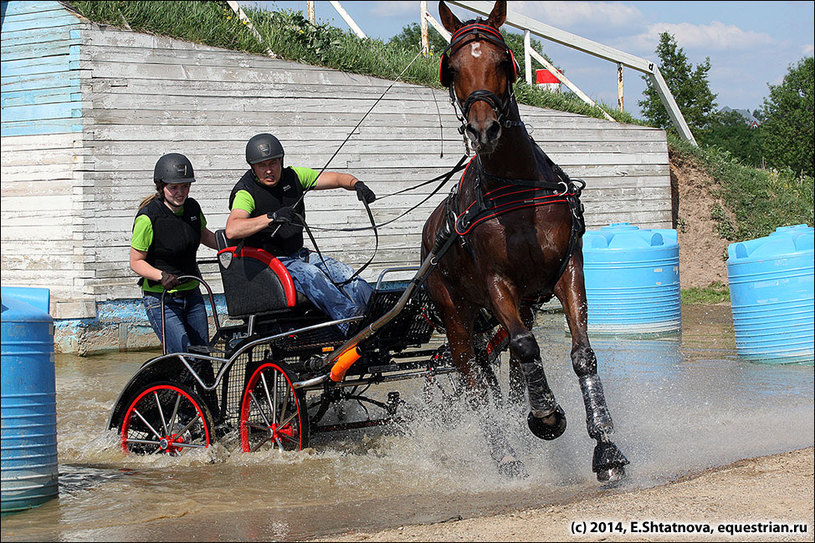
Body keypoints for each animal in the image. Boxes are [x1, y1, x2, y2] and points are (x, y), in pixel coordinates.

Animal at [424, 0, 628, 484]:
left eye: (503, 61)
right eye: (452, 69)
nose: (484, 130)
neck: (517, 191)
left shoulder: (567, 270)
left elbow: (582, 354)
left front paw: (605, 446)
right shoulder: (498, 284)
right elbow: (525, 347)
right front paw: (547, 415)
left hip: (520, 307)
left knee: (509, 372)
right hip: (455, 317)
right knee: (474, 383)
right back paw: (505, 455)